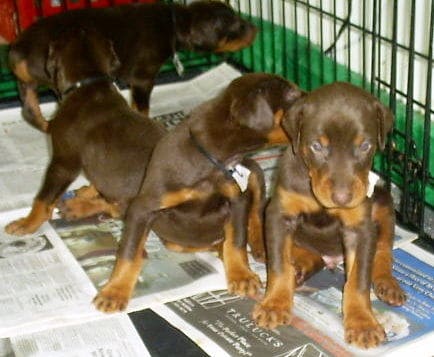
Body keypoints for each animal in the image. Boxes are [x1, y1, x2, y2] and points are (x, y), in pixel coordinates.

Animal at [5, 29, 166, 235]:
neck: (90, 84)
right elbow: (97, 177)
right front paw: (90, 190)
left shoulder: (63, 162)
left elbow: (44, 198)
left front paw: (27, 223)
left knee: (116, 210)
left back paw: (78, 207)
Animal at [9, 0, 258, 131]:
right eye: (237, 27)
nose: (256, 29)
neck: (173, 23)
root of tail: (18, 50)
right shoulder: (143, 78)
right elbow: (142, 107)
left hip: (27, 84)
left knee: (30, 112)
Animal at [253, 82, 408, 348]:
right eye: (317, 146)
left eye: (365, 146)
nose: (342, 199)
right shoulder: (279, 214)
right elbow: (279, 266)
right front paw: (274, 304)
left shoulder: (360, 228)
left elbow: (358, 280)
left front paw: (363, 323)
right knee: (305, 255)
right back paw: (299, 268)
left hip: (384, 203)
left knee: (383, 249)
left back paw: (387, 283)